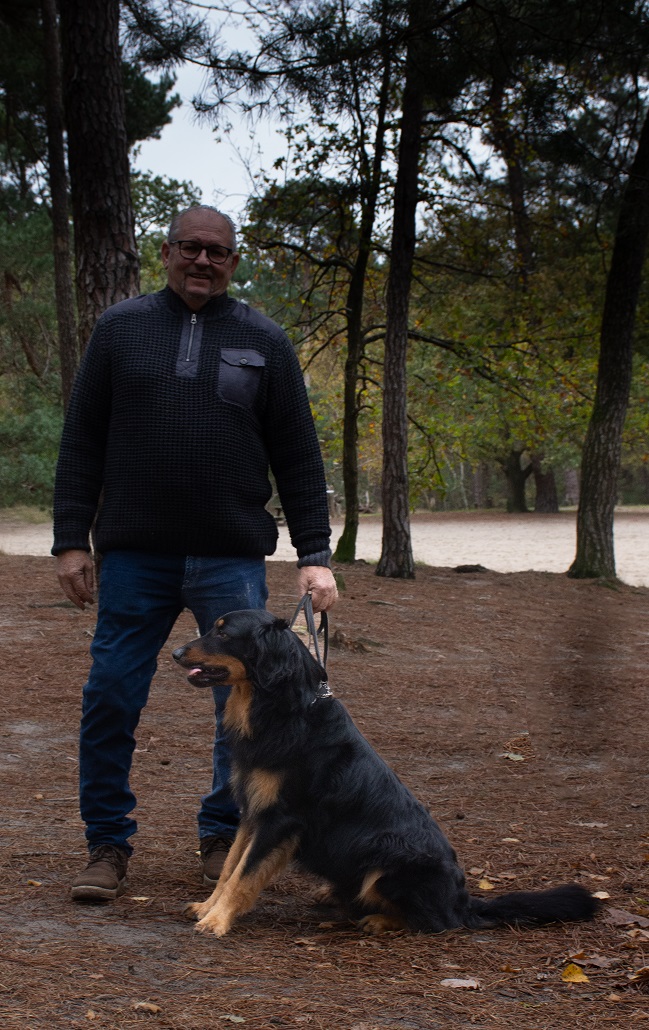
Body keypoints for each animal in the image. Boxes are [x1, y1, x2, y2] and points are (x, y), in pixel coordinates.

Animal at [173, 609, 598, 937]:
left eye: (223, 632)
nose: (175, 652)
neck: (283, 710)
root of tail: (463, 901)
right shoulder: (253, 813)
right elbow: (231, 867)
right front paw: (209, 907)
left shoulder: (280, 819)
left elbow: (244, 875)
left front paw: (218, 921)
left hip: (390, 854)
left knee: (438, 922)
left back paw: (381, 920)